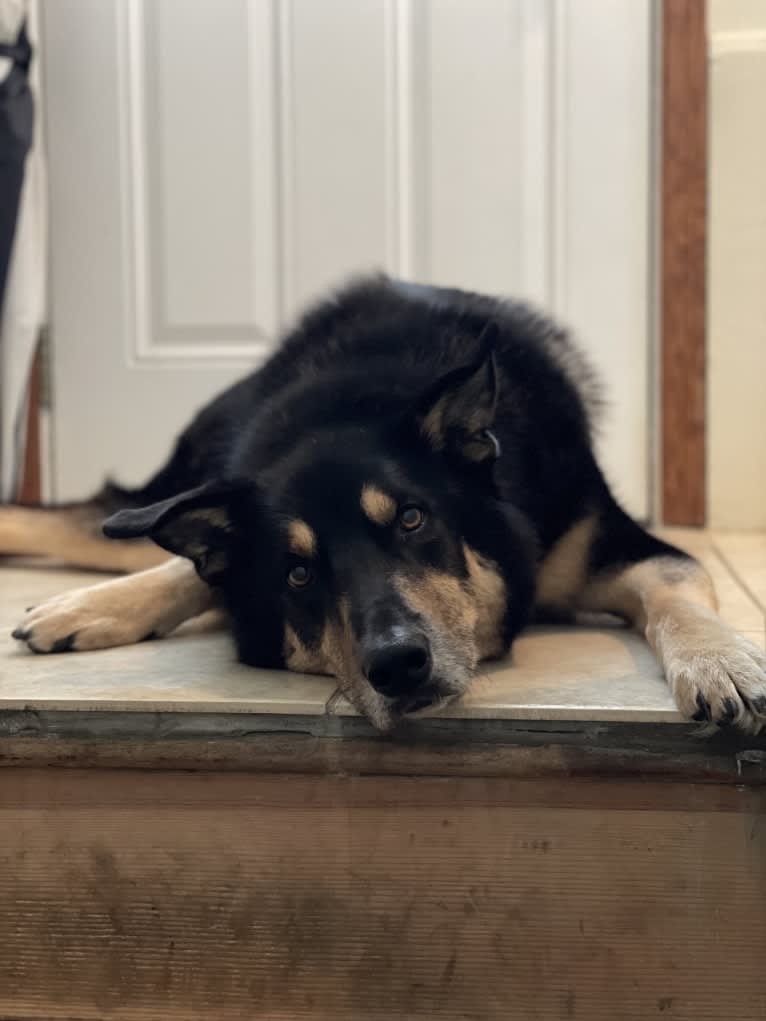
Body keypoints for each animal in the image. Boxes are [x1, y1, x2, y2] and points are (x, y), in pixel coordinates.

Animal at [1, 275, 766, 731]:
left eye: (412, 519)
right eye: (297, 573)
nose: (397, 666)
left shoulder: (610, 543)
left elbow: (677, 592)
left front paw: (722, 661)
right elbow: (194, 578)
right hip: (166, 494)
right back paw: (80, 605)